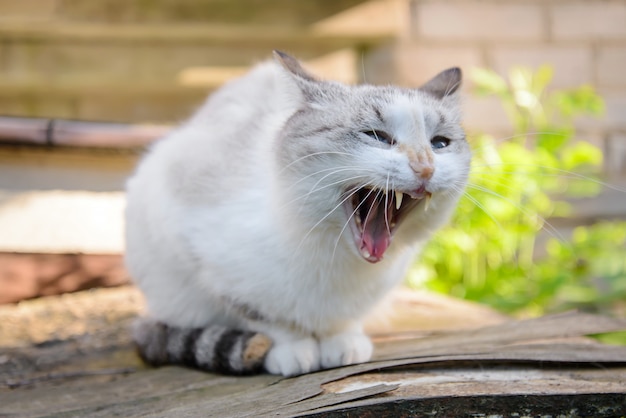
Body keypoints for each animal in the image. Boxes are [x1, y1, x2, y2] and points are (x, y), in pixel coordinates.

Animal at [125, 49, 468, 376]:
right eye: (377, 136)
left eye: (440, 143)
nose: (425, 168)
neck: (335, 257)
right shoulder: (199, 251)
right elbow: (267, 320)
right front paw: (293, 351)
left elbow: (343, 319)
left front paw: (342, 343)